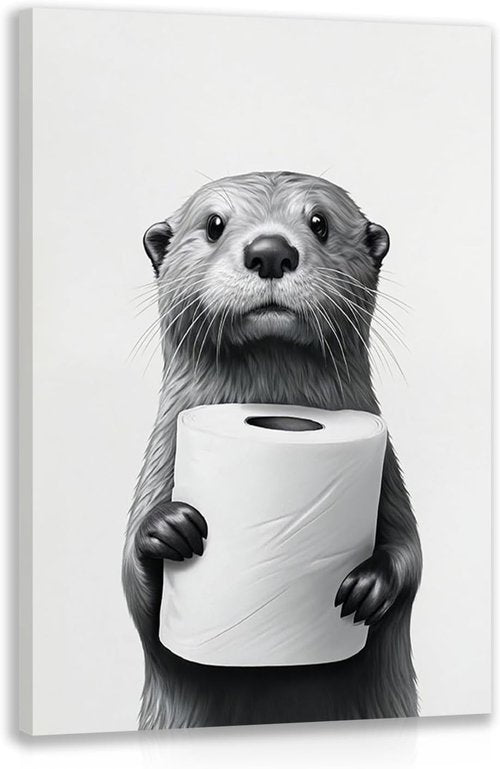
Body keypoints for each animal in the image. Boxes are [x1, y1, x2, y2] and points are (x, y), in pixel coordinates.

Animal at [122, 171, 422, 729]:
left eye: (320, 222)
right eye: (214, 224)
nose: (270, 251)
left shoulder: (389, 474)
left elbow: (411, 556)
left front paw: (370, 586)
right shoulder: (159, 461)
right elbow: (135, 591)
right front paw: (167, 528)